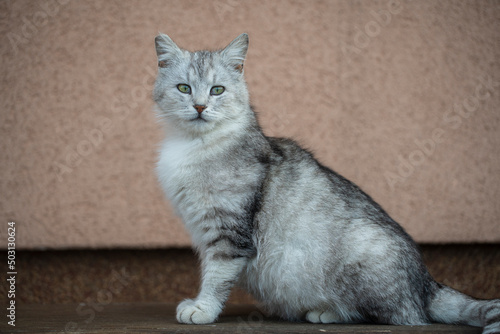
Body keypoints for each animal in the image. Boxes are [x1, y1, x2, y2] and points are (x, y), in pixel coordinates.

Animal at [153, 32, 500, 332]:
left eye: (217, 90)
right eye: (184, 89)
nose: (199, 106)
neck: (192, 146)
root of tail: (428, 284)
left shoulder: (228, 233)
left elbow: (216, 276)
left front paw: (202, 309)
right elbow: (210, 272)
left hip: (364, 254)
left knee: (395, 315)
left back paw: (326, 311)